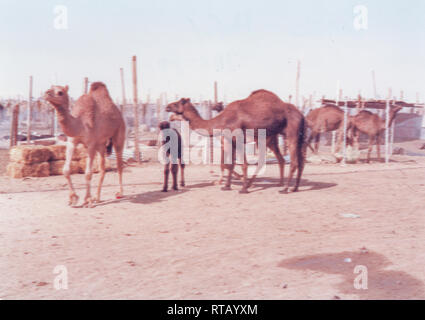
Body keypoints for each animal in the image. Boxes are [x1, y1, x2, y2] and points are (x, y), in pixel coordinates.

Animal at [166, 89, 304, 194]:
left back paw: (284, 189)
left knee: (292, 162)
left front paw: (242, 189)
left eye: (178, 103)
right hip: (282, 137)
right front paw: (226, 186)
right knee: (292, 161)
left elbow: (241, 164)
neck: (222, 120)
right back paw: (291, 187)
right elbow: (230, 164)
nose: (167, 108)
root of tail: (301, 114)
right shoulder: (230, 140)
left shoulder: (237, 137)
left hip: (290, 133)